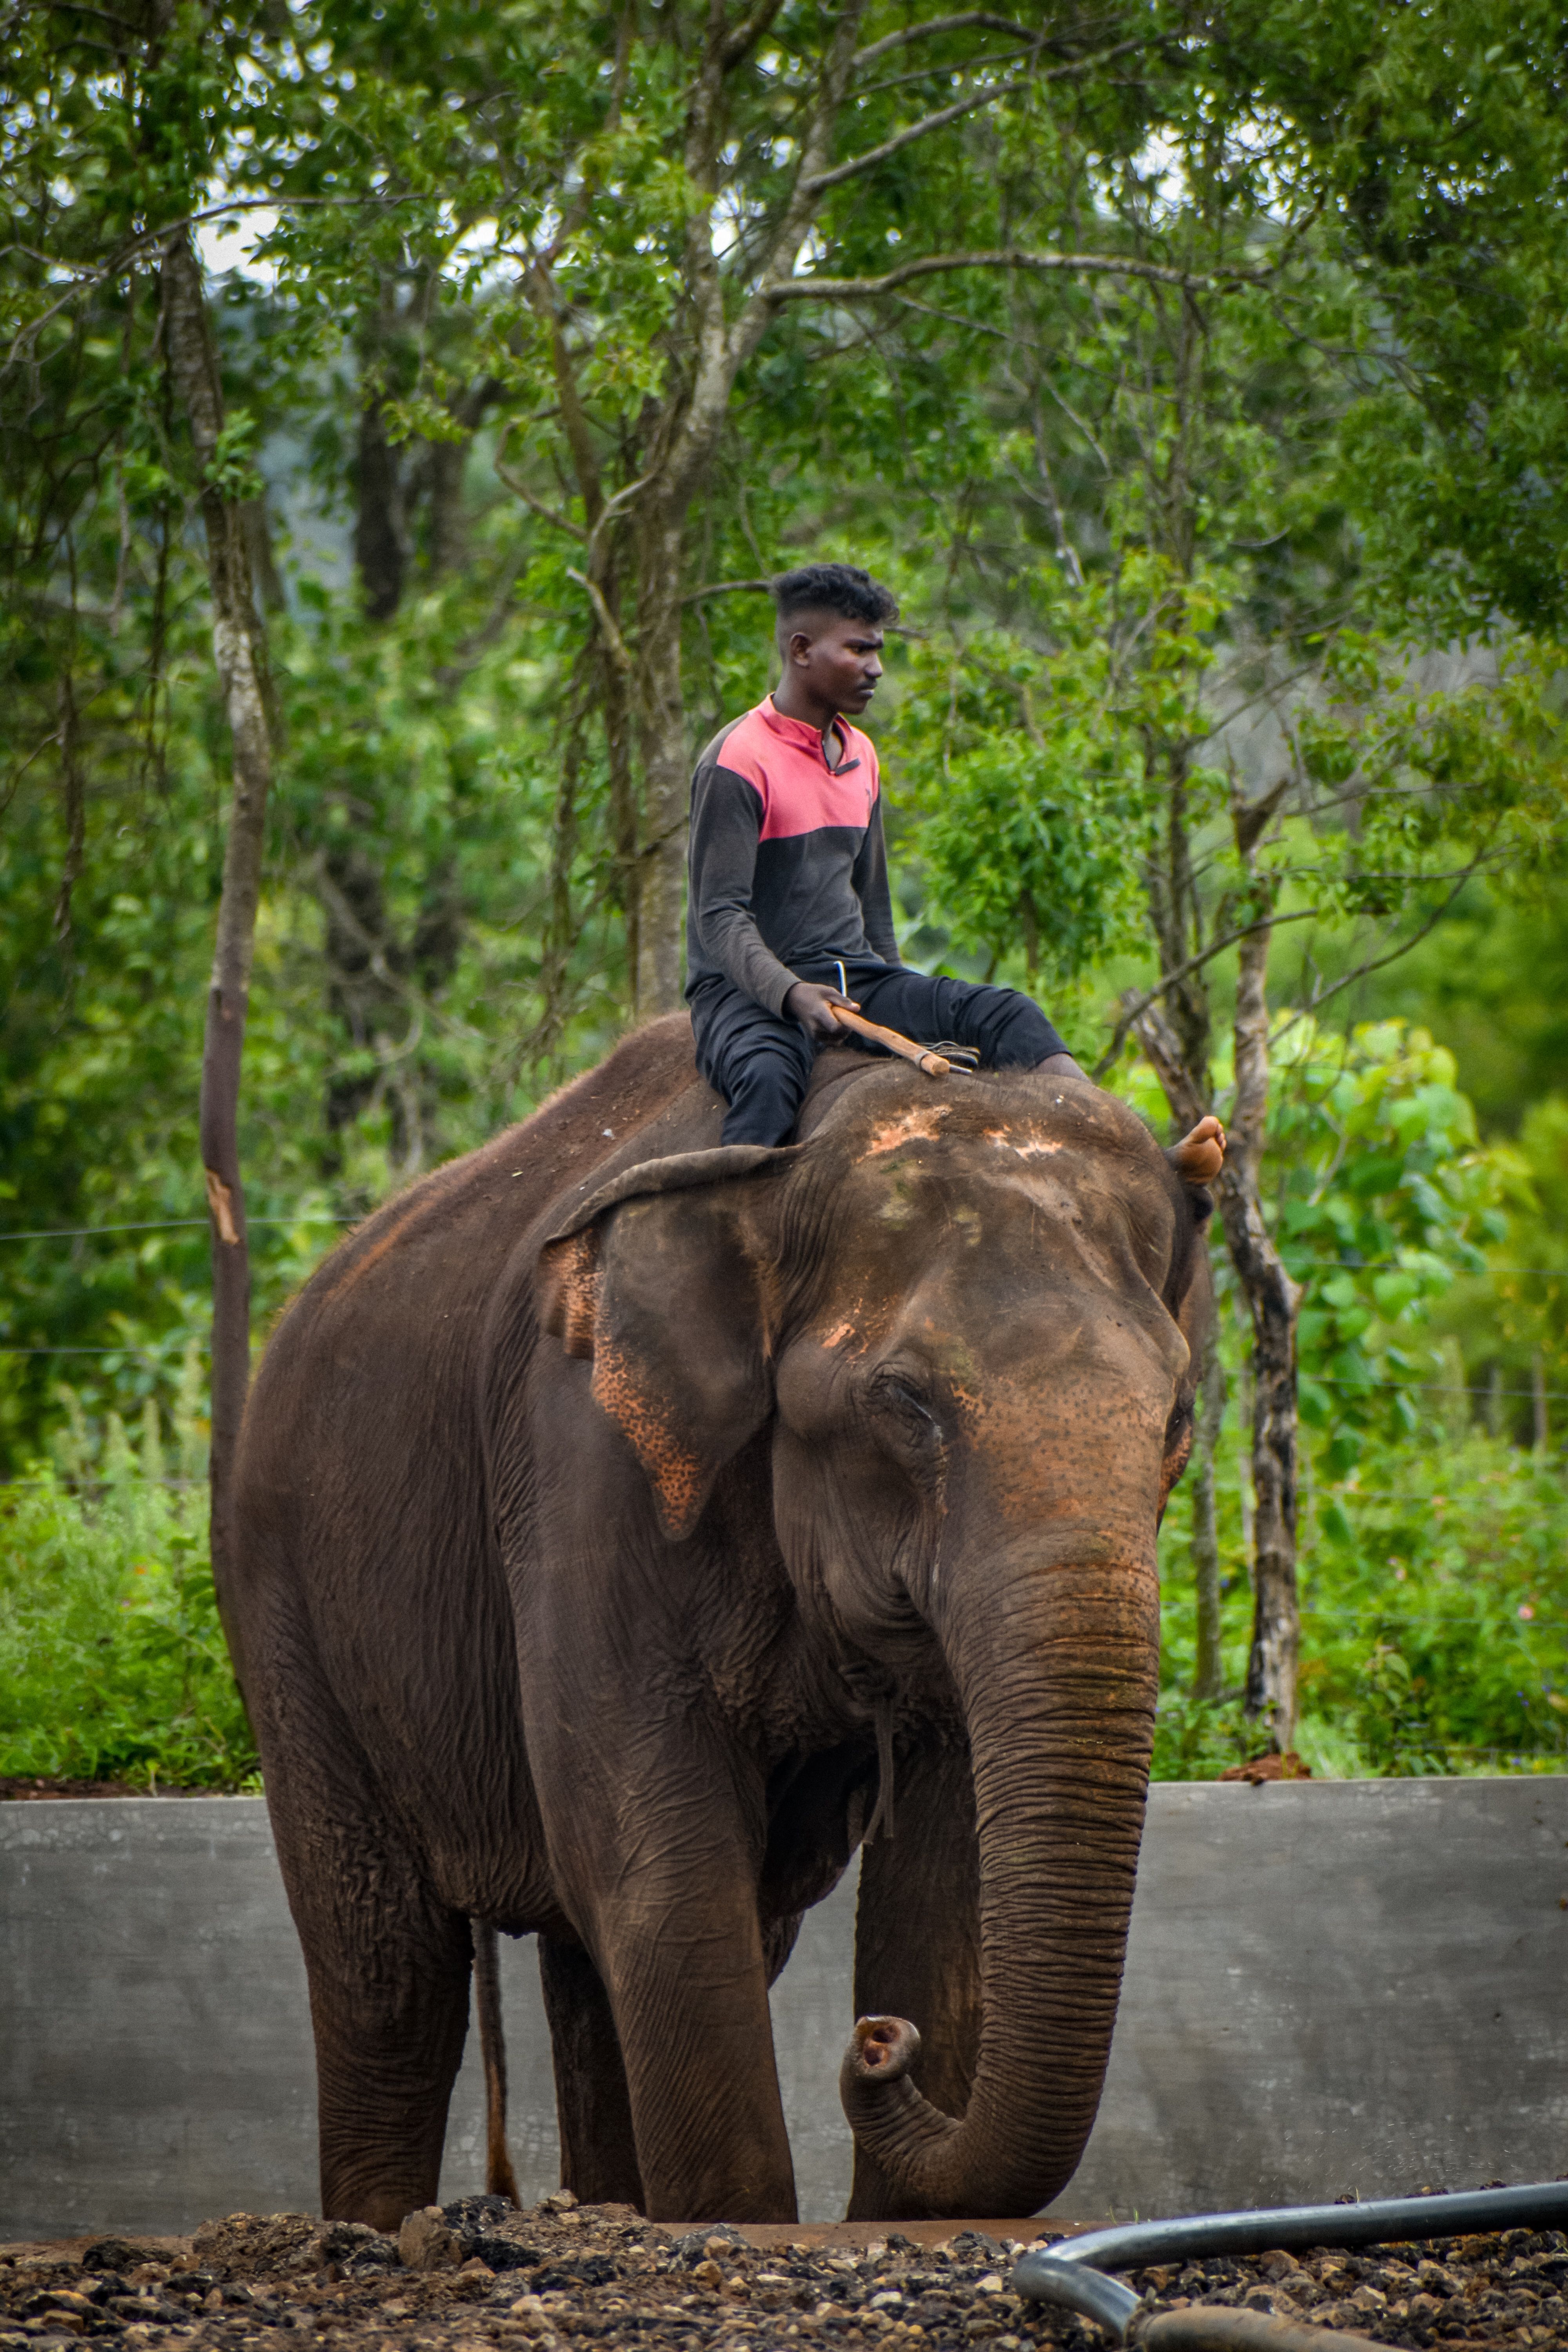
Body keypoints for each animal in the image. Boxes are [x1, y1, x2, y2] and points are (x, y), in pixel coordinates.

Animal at [229, 1014, 1220, 2230]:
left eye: (1176, 1416)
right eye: (905, 1401)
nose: (876, 2041)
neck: (789, 1162)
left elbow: (944, 1876)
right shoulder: (579, 1458)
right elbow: (654, 1854)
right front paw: (745, 2216)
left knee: (595, 1966)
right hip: (285, 1607)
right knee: (387, 1975)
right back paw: (379, 2223)